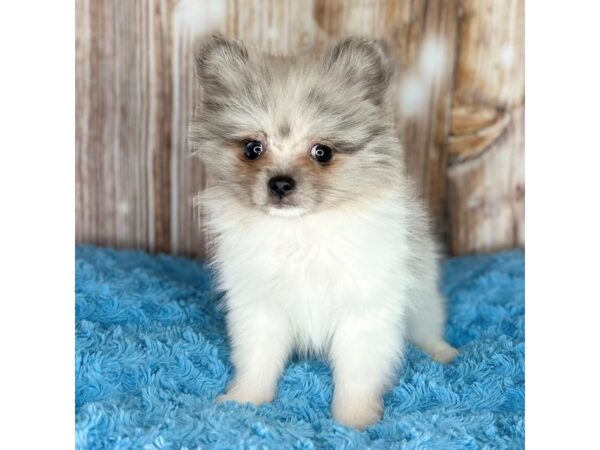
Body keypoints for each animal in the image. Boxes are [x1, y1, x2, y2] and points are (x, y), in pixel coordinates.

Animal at [190, 34, 458, 428]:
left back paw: (443, 353)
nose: (280, 184)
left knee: (427, 327)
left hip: (423, 296)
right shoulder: (259, 307)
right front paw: (244, 401)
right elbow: (257, 361)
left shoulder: (363, 312)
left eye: (322, 152)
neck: (300, 231)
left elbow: (356, 374)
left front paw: (354, 421)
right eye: (253, 149)